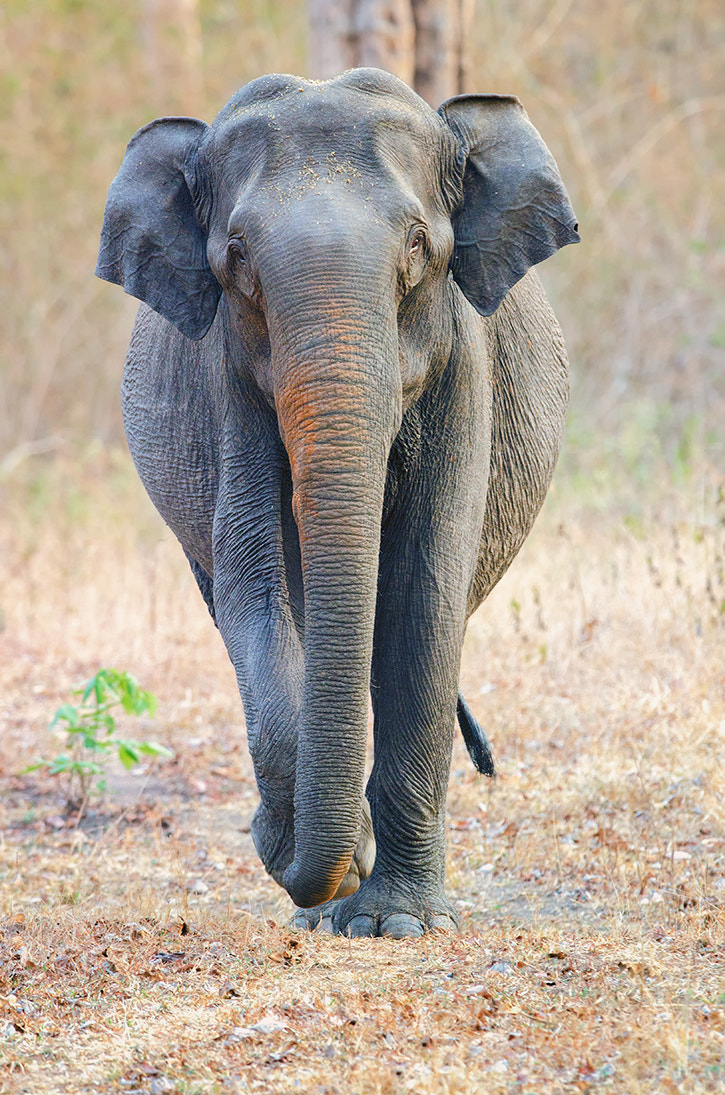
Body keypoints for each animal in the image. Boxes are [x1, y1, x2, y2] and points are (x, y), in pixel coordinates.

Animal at [99, 68, 582, 937]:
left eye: (418, 247)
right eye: (236, 258)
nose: (282, 846)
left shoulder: (465, 362)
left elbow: (425, 594)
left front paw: (398, 924)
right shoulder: (226, 375)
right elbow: (257, 588)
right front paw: (320, 853)